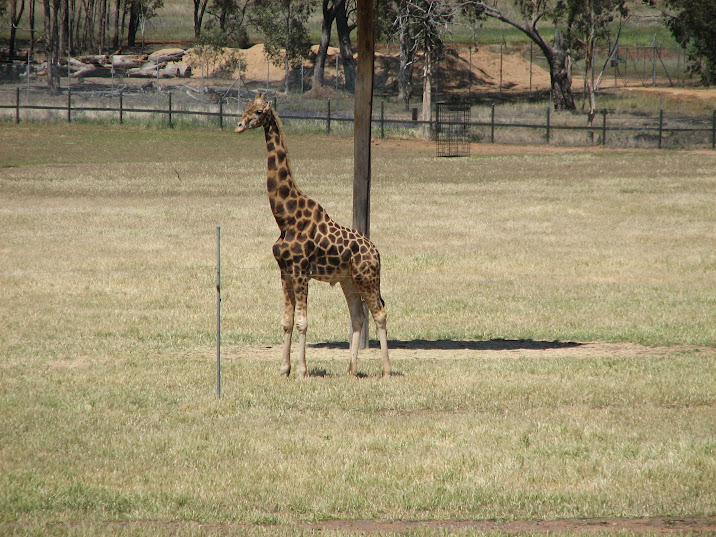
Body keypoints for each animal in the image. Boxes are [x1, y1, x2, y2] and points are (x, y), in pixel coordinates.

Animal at [235, 93, 390, 379]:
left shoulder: (300, 271)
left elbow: (302, 322)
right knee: (358, 316)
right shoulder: (284, 272)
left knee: (380, 313)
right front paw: (284, 369)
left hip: (368, 277)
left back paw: (386, 370)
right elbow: (287, 321)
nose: (239, 125)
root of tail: (376, 252)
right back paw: (351, 370)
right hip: (348, 281)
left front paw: (301, 370)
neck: (285, 217)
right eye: (247, 107)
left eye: (259, 111)